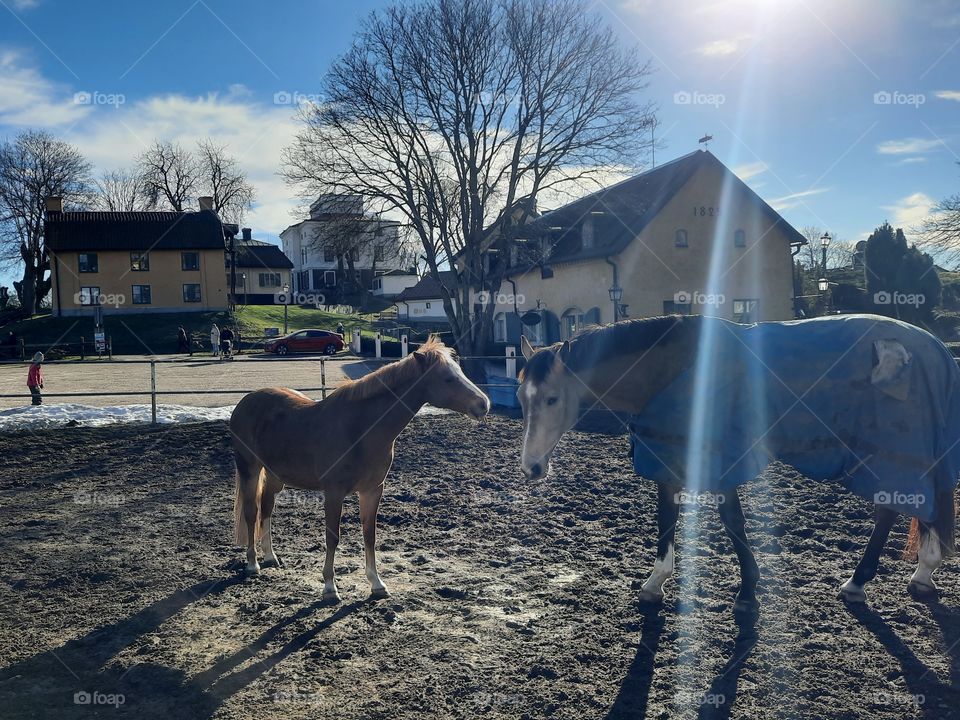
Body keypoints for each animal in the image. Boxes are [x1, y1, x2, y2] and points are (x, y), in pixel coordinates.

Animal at [229, 337, 490, 602]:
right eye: (448, 378)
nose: (484, 404)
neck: (361, 428)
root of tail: (245, 402)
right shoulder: (334, 493)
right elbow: (332, 537)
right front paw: (330, 587)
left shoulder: (372, 490)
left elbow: (369, 535)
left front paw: (377, 583)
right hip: (250, 469)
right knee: (251, 513)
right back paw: (253, 564)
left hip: (274, 477)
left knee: (266, 509)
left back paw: (271, 556)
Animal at [517, 314, 960, 613]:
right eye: (522, 398)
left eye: (552, 398)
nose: (531, 468)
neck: (675, 369)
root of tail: (937, 348)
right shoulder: (670, 454)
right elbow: (668, 518)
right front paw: (658, 582)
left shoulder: (717, 457)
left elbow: (731, 522)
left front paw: (747, 592)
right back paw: (919, 574)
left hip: (894, 451)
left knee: (891, 509)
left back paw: (863, 580)